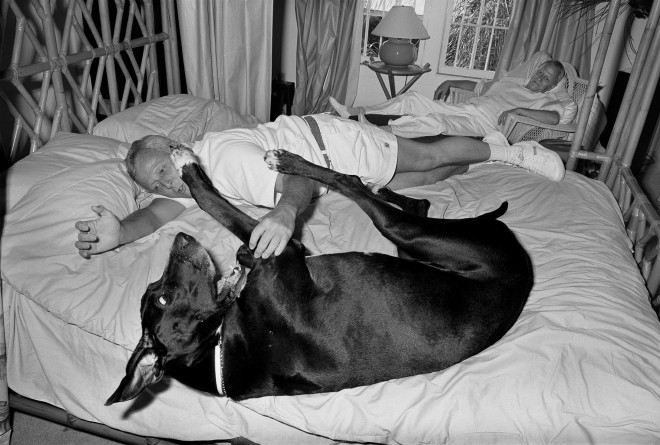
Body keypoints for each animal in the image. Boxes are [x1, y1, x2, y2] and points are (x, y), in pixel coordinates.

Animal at [105, 145, 532, 402]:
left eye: (157, 292)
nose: (180, 238)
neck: (220, 350)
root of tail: (525, 272)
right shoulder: (285, 252)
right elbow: (214, 204)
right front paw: (188, 166)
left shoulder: (277, 250)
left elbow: (226, 218)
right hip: (409, 234)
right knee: (355, 184)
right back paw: (291, 161)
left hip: (412, 242)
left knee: (402, 198)